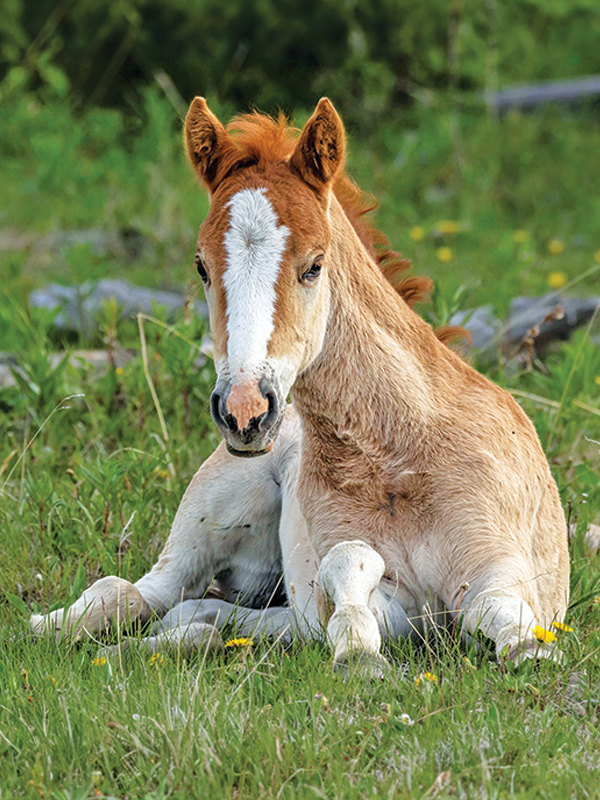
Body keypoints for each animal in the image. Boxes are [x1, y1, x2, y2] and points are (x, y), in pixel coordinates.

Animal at [31, 97, 570, 671]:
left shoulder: (500, 570)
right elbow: (348, 568)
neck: (401, 455)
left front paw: (532, 652)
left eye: (314, 265)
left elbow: (506, 620)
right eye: (201, 267)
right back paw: (58, 630)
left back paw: (189, 637)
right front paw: (358, 654)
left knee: (210, 615)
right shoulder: (399, 609)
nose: (244, 412)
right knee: (135, 592)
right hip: (207, 519)